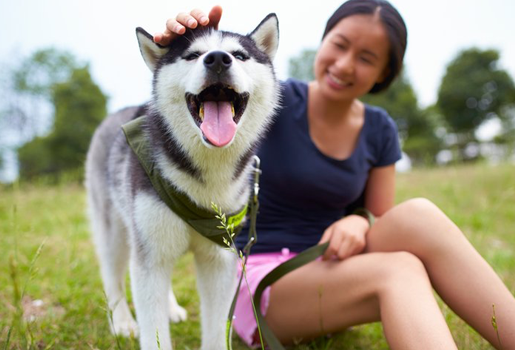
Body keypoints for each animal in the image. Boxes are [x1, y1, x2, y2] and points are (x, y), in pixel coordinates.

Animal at [85, 13, 278, 350]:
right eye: (193, 55)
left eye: (240, 55)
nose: (218, 59)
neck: (207, 173)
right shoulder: (150, 252)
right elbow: (153, 328)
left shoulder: (220, 257)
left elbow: (216, 327)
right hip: (115, 231)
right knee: (112, 275)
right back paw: (121, 321)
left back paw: (171, 307)